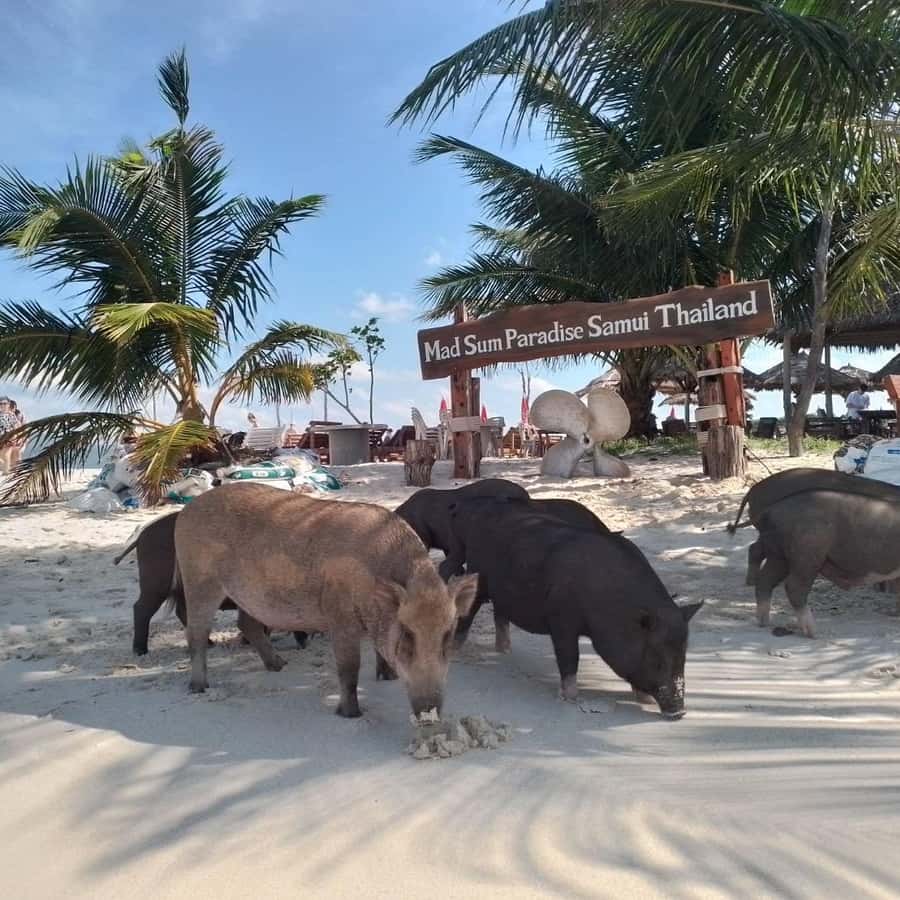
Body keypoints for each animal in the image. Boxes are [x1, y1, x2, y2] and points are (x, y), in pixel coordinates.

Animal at [114, 511, 308, 655]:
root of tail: (142, 534)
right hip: (155, 587)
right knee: (141, 610)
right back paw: (140, 650)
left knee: (182, 612)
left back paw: (208, 643)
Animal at [174, 483, 478, 719]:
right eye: (407, 634)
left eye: (448, 634)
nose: (429, 713)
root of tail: (185, 512)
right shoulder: (339, 615)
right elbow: (349, 666)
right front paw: (351, 714)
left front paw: (388, 678)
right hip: (199, 578)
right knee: (196, 632)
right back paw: (199, 687)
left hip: (250, 596)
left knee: (246, 624)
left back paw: (279, 666)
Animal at [447, 498, 702, 718]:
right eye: (657, 659)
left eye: (684, 656)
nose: (679, 712)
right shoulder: (561, 620)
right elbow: (569, 657)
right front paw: (570, 698)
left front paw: (644, 700)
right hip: (478, 574)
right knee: (469, 611)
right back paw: (457, 653)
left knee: (500, 614)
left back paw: (504, 651)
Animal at [752, 490, 900, 637]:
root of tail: (771, 510)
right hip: (807, 553)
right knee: (794, 586)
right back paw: (813, 632)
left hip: (778, 554)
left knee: (764, 580)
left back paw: (764, 622)